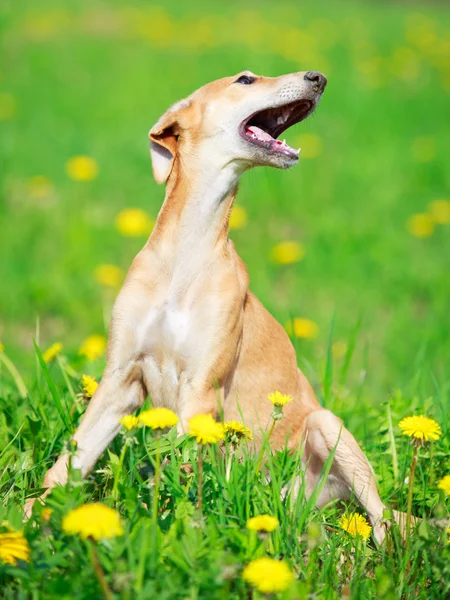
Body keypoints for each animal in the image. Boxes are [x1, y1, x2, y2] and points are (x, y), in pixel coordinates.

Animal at [26, 71, 388, 544]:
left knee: (384, 518)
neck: (185, 255)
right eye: (245, 78)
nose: (318, 77)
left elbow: (178, 470)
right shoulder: (121, 378)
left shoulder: (201, 388)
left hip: (328, 427)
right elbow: (70, 459)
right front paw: (30, 517)